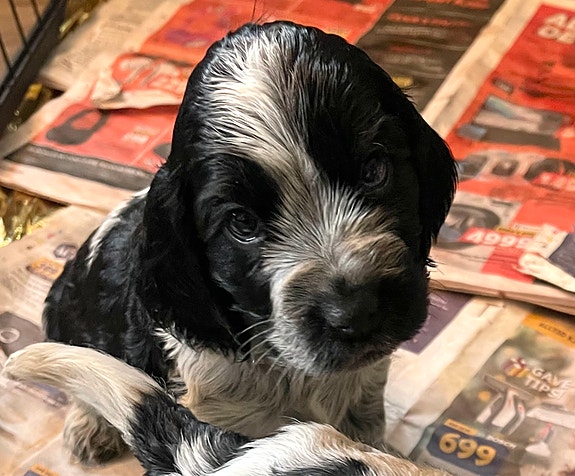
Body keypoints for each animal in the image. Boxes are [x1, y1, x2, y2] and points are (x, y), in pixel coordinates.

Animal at [41, 20, 457, 469]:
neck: (290, 369)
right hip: (61, 313)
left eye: (374, 171)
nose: (356, 312)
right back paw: (89, 428)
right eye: (241, 222)